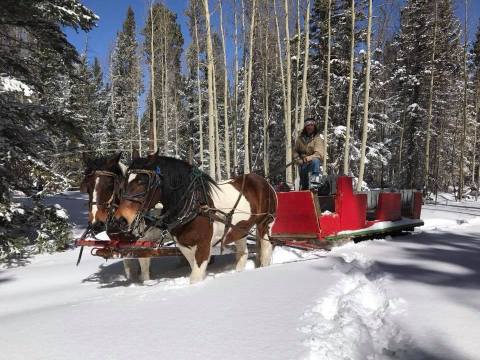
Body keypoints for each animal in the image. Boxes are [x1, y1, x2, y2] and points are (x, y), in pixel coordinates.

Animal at [79, 152, 150, 282]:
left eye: (110, 184)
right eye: (88, 186)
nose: (96, 224)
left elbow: (145, 270)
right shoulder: (123, 246)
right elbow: (128, 267)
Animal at [113, 153, 278, 282]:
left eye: (142, 181)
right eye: (123, 183)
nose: (120, 219)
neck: (193, 205)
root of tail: (264, 181)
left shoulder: (204, 245)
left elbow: (195, 278)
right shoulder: (184, 246)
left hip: (265, 223)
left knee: (266, 248)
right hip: (239, 230)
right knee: (243, 253)